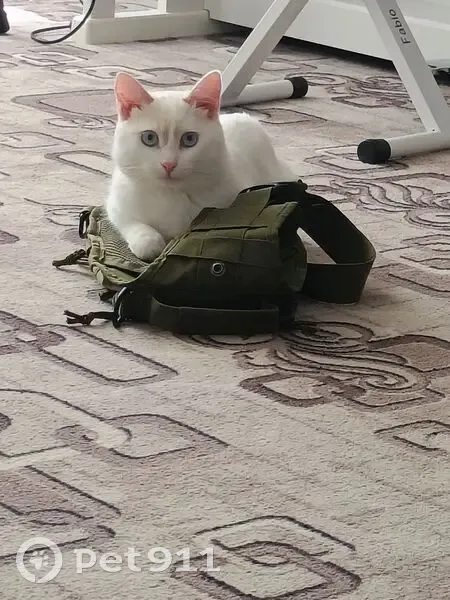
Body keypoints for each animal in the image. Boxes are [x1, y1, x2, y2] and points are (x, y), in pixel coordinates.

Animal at [105, 69, 297, 261]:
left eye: (190, 139)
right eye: (149, 138)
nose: (169, 164)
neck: (170, 195)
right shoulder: (117, 202)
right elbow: (129, 223)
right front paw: (149, 241)